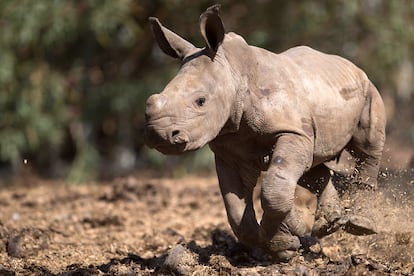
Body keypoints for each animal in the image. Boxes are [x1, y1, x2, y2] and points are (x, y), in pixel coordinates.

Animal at [144, 5, 386, 260]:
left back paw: (361, 224)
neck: (233, 75)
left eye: (200, 101)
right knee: (310, 167)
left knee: (366, 147)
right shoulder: (228, 149)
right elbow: (235, 208)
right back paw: (327, 224)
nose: (159, 134)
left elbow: (273, 194)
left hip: (367, 89)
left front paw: (284, 239)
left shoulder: (290, 131)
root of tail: (352, 65)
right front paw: (286, 243)